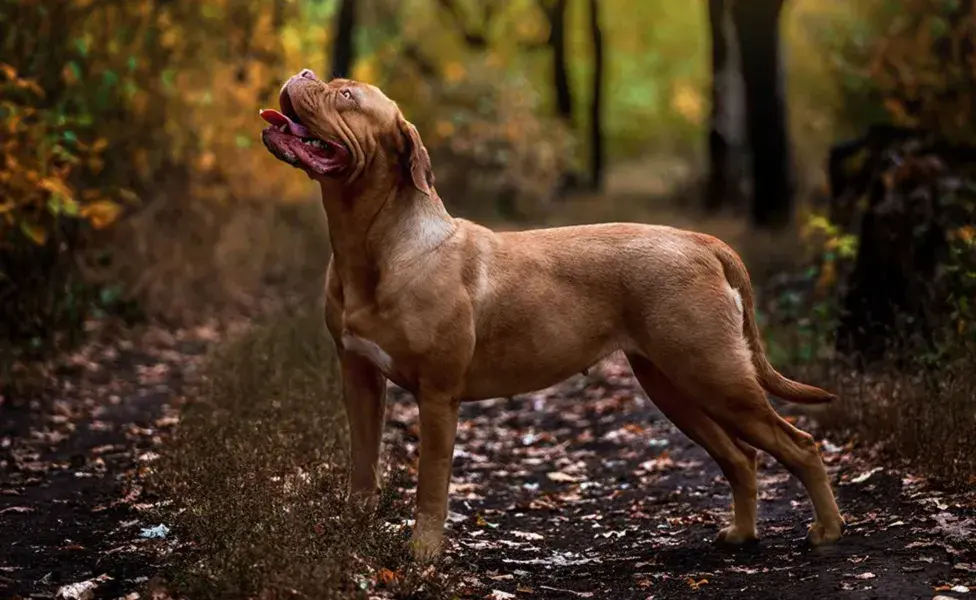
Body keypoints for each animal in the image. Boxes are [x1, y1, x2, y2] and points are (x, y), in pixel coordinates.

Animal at [260, 69, 848, 564]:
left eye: (346, 96)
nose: (305, 72)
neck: (373, 246)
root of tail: (701, 241)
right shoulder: (359, 378)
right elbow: (363, 464)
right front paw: (354, 533)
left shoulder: (437, 395)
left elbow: (431, 482)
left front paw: (423, 552)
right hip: (674, 385)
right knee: (741, 457)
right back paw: (742, 534)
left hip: (716, 375)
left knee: (799, 445)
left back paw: (827, 531)